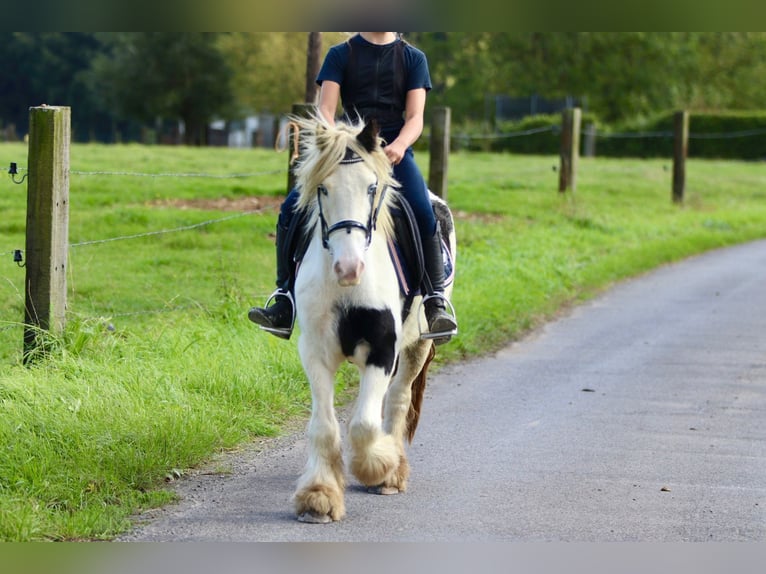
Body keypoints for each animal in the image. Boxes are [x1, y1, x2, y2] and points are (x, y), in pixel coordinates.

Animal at [286, 112, 456, 528]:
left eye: (371, 187)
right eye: (323, 188)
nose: (349, 268)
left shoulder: (383, 348)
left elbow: (364, 424)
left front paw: (378, 466)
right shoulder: (315, 351)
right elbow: (324, 426)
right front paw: (319, 496)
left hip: (418, 345)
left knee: (397, 400)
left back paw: (393, 472)